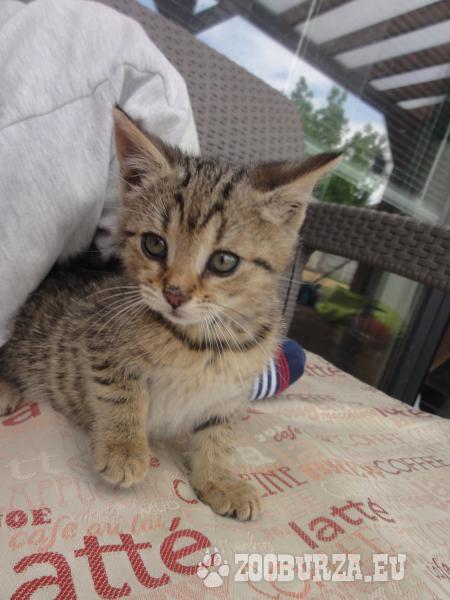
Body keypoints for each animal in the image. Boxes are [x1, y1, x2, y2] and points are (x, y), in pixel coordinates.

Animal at [0, 107, 339, 520]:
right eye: (154, 244)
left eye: (224, 261)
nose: (174, 293)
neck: (203, 341)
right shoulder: (97, 340)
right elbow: (121, 391)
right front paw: (125, 448)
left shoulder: (230, 393)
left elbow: (220, 433)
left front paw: (219, 479)